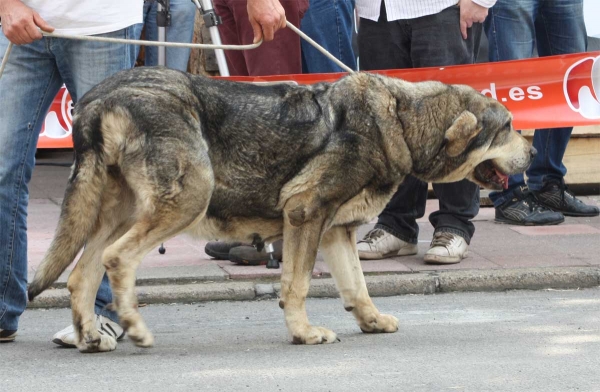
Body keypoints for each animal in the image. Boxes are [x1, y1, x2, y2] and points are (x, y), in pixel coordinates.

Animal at [27, 67, 536, 352]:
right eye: (509, 126)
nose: (532, 153)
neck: (402, 118)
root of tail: (100, 98)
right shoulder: (305, 214)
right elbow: (297, 285)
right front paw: (304, 333)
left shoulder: (336, 230)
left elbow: (357, 286)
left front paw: (369, 321)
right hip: (186, 199)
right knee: (117, 260)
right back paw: (132, 328)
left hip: (120, 212)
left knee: (81, 274)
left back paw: (91, 337)